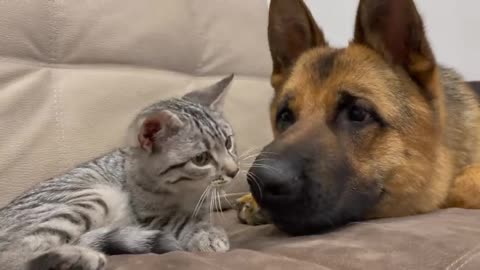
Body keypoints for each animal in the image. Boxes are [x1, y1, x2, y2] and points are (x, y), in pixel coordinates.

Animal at [0, 75, 239, 270]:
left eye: (228, 143)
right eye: (201, 159)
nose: (234, 171)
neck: (187, 191)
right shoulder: (148, 217)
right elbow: (180, 221)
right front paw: (206, 233)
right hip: (93, 197)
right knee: (13, 256)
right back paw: (76, 258)